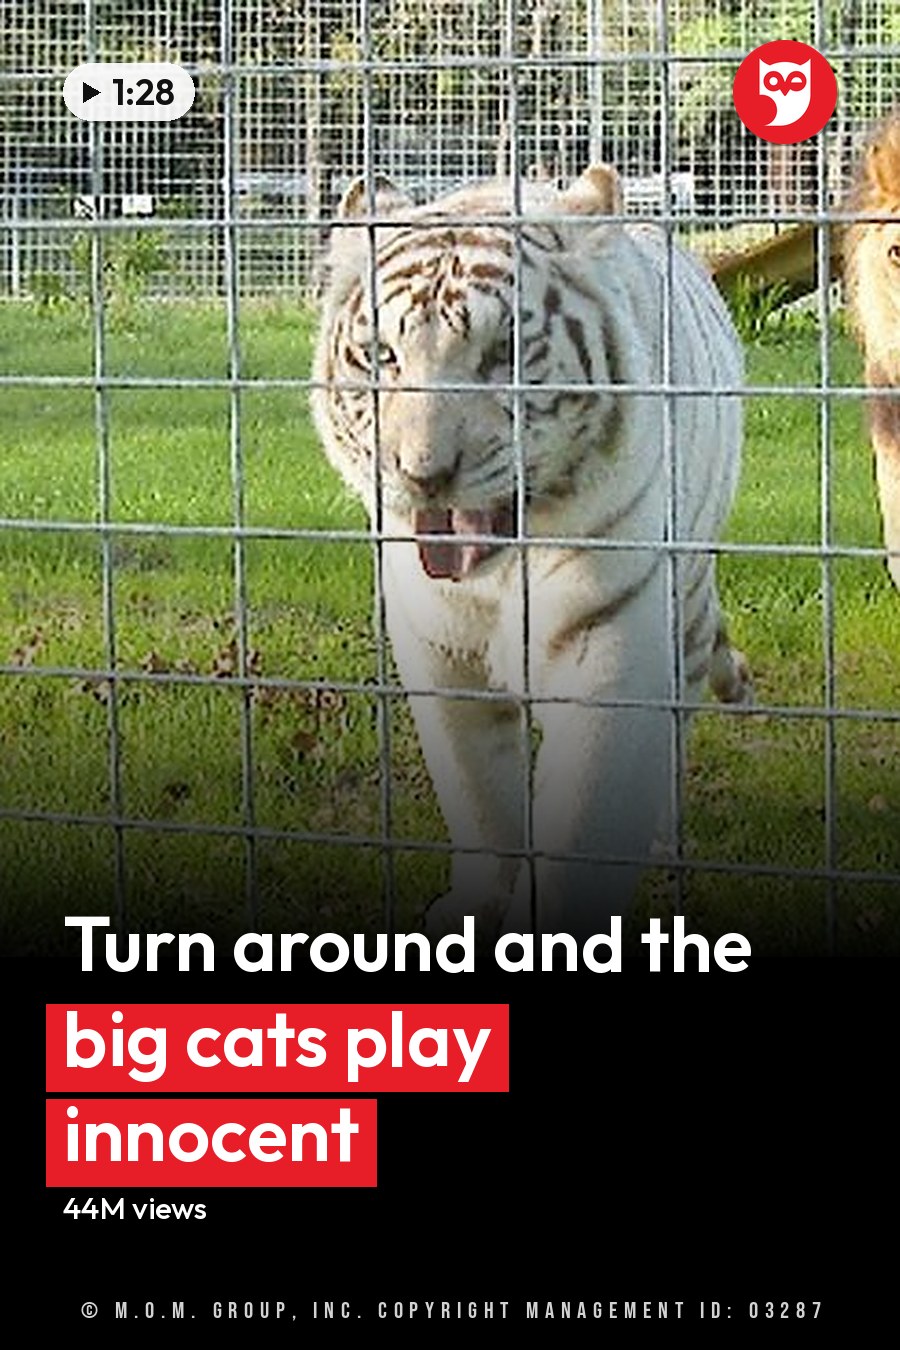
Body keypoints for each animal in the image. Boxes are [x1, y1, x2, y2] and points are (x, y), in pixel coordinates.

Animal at [311, 164, 751, 942]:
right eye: (382, 355)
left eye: (504, 357)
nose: (421, 473)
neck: (497, 574)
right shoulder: (439, 650)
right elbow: (479, 797)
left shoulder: (608, 643)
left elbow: (581, 820)